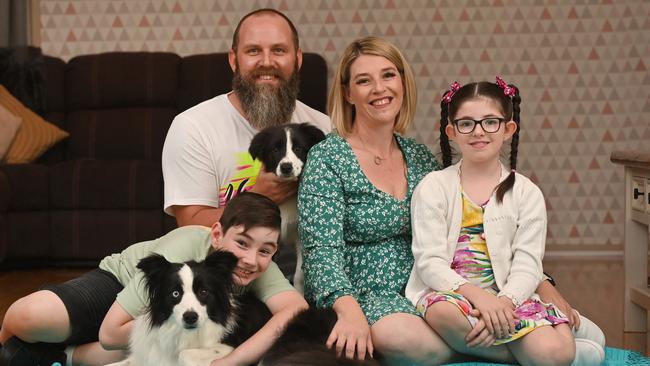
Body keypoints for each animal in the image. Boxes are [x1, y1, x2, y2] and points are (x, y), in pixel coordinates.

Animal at [107, 252, 239, 366]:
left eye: (203, 291)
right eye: (175, 293)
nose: (190, 317)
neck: (184, 334)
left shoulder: (226, 347)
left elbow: (184, 354)